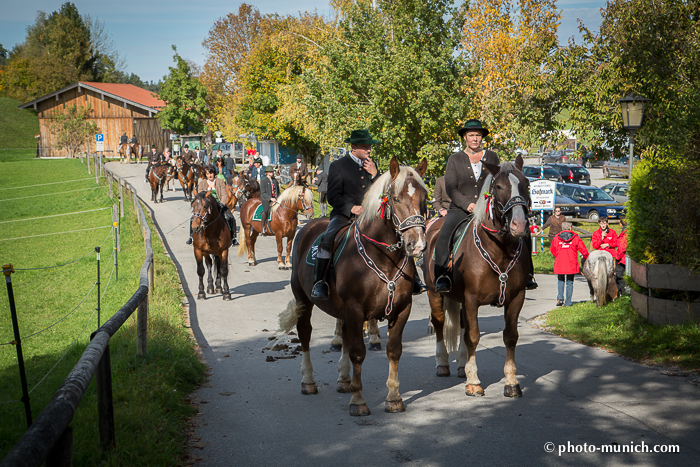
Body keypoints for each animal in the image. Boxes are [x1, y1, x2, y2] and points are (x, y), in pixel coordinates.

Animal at [278, 157, 426, 416]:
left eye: (424, 198)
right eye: (396, 199)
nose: (416, 245)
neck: (383, 258)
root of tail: (310, 226)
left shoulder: (401, 309)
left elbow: (394, 350)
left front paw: (394, 398)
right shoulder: (356, 309)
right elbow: (358, 353)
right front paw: (358, 400)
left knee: (344, 334)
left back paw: (344, 380)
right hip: (303, 299)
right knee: (305, 333)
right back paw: (309, 381)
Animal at [422, 156, 532, 398]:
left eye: (527, 184)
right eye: (498, 187)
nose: (519, 225)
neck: (499, 250)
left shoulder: (516, 298)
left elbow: (510, 336)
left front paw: (511, 383)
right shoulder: (471, 299)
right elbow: (473, 336)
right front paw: (474, 383)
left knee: (462, 326)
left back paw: (462, 365)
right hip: (435, 293)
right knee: (440, 323)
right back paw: (443, 363)